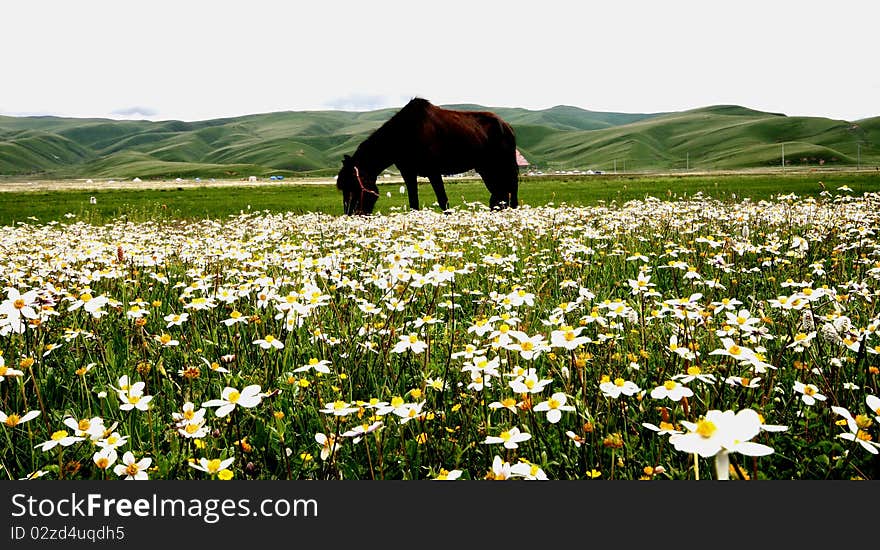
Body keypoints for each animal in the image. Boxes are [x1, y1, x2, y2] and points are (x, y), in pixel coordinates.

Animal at [336, 98, 516, 215]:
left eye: (352, 186)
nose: (351, 215)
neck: (405, 133)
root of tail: (507, 126)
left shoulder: (433, 172)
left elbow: (444, 202)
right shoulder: (408, 173)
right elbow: (414, 204)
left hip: (506, 167)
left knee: (510, 194)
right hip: (487, 169)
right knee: (499, 196)